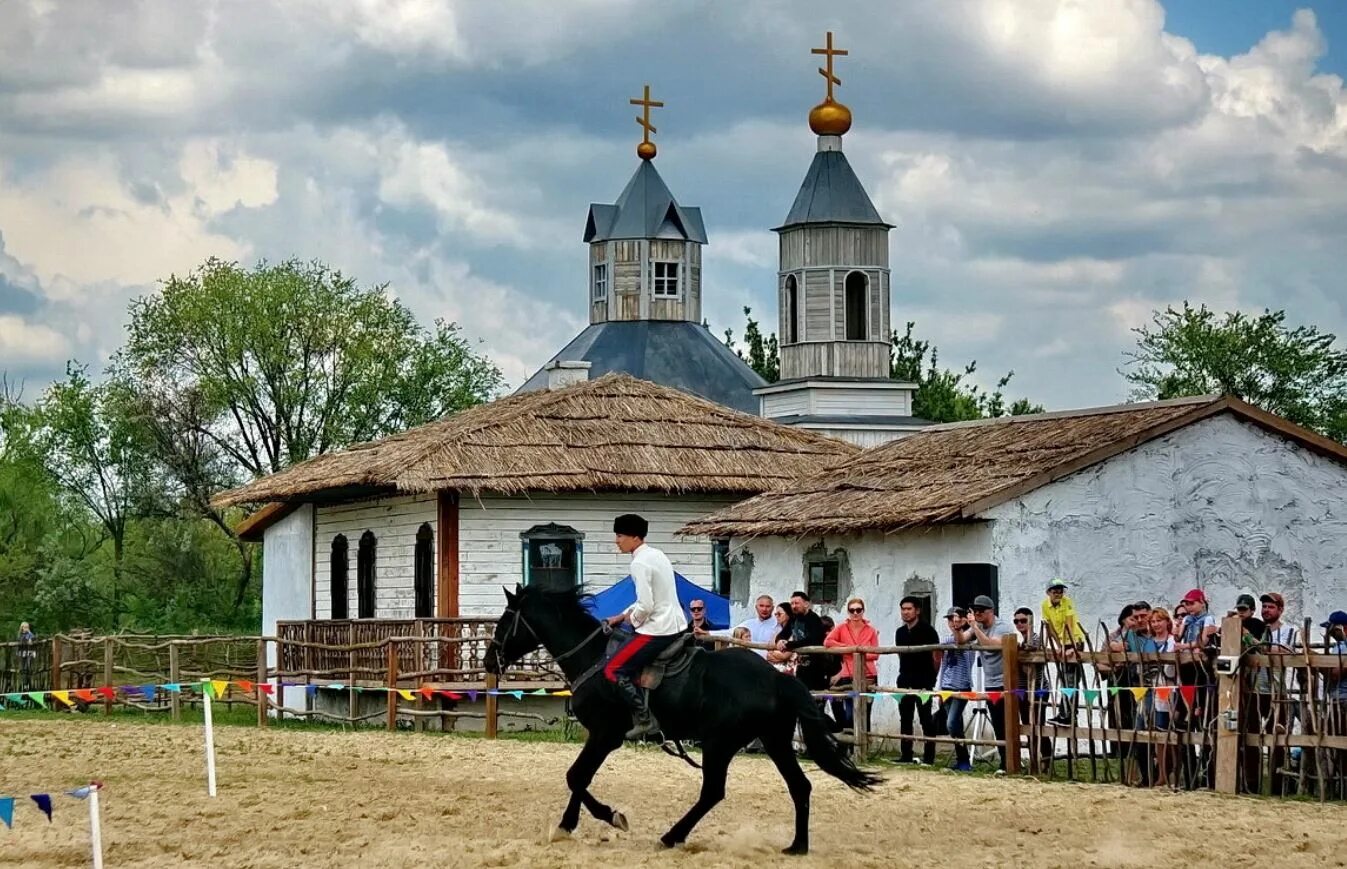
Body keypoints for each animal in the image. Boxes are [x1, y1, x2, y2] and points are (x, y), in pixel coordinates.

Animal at [484, 582, 883, 851]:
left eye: (504, 621)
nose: (488, 661)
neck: (594, 658)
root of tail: (777, 678)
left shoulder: (604, 735)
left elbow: (576, 776)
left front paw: (609, 817)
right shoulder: (600, 737)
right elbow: (578, 779)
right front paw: (569, 825)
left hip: (720, 743)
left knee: (713, 792)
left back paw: (671, 835)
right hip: (774, 740)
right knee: (799, 786)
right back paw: (797, 846)